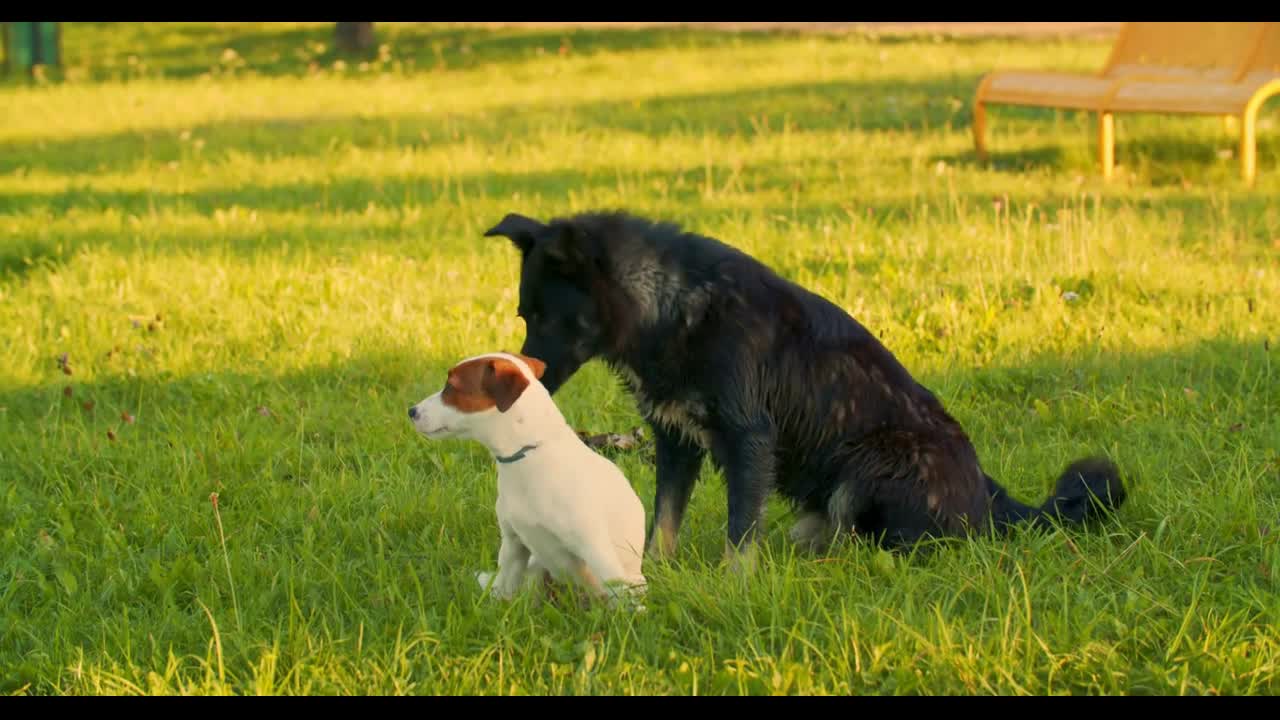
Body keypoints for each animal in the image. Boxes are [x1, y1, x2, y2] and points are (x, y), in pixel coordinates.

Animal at [412, 348, 650, 604]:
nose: (411, 411)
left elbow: (622, 597)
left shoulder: (597, 551)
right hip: (536, 567)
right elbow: (502, 592)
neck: (528, 457)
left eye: (451, 387)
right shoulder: (514, 545)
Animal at [483, 210, 1126, 568]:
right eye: (523, 314)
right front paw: (658, 573)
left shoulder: (749, 440)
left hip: (872, 464)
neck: (673, 304)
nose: (521, 382)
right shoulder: (676, 441)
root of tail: (990, 501)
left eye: (548, 317)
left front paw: (735, 587)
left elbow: (740, 534)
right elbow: (664, 520)